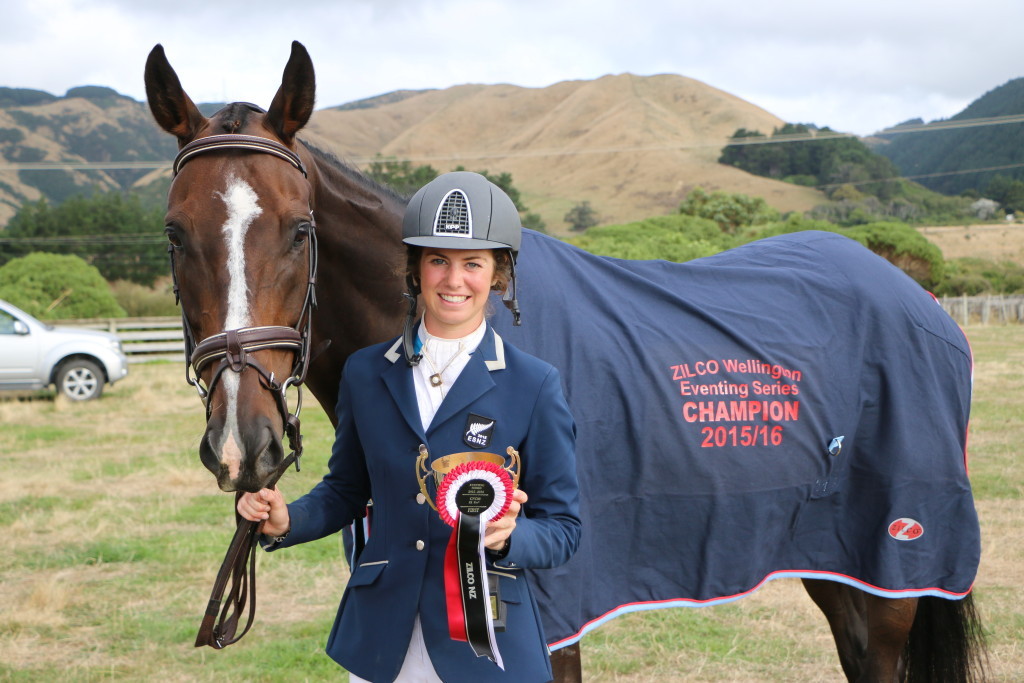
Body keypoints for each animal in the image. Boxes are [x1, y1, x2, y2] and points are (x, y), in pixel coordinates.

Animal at [144, 41, 983, 679]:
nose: (242, 442)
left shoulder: (545, 616)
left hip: (891, 577)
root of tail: (915, 296)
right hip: (832, 561)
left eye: (299, 229)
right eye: (175, 233)